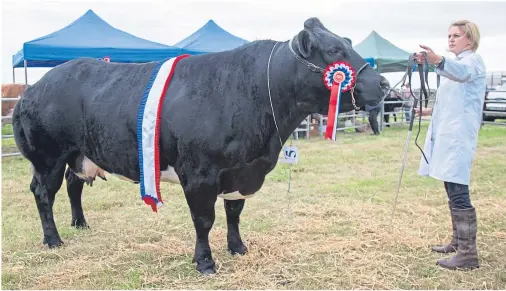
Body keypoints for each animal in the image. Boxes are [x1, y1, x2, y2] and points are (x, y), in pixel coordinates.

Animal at [11, 17, 384, 276]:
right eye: (335, 51)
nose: (381, 83)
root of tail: (34, 88)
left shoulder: (240, 172)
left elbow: (234, 212)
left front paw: (238, 248)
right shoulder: (200, 174)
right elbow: (204, 220)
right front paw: (205, 262)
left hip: (79, 153)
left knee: (73, 185)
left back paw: (80, 224)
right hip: (47, 156)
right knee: (43, 193)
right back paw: (54, 240)